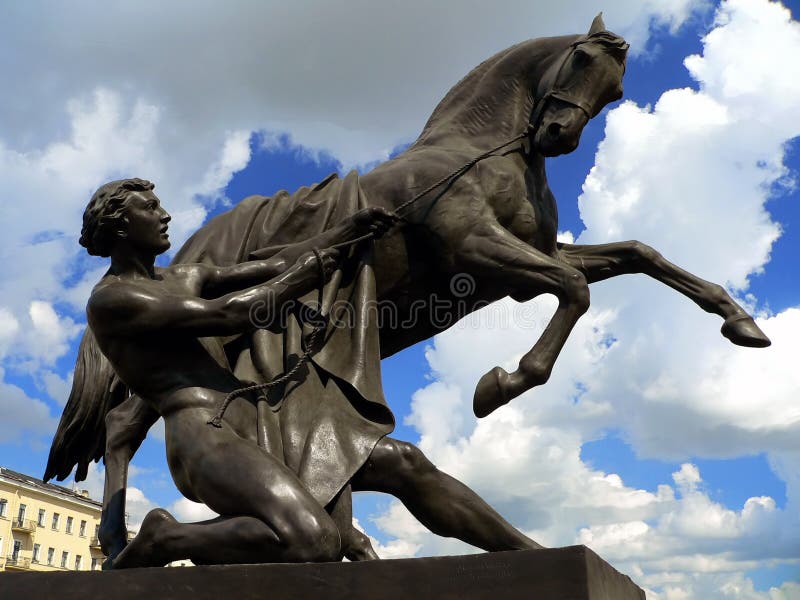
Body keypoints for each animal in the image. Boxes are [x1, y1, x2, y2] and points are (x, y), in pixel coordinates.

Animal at [43, 14, 768, 564]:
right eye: (584, 59)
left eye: (616, 92)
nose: (559, 135)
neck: (479, 151)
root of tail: (186, 248)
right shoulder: (481, 250)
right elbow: (574, 291)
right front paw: (500, 384)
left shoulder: (525, 259)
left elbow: (637, 255)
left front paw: (740, 321)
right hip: (203, 339)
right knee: (123, 425)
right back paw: (119, 541)